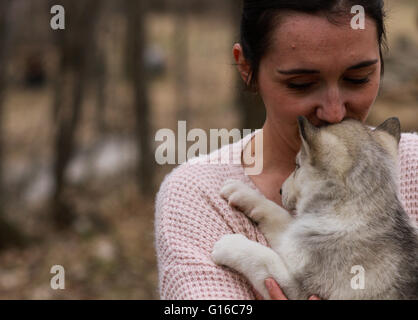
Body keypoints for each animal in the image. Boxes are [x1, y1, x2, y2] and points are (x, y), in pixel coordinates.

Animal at [212, 117, 418, 300]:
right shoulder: (298, 237)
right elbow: (279, 216)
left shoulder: (301, 289)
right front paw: (244, 193)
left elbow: (263, 257)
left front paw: (230, 245)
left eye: (297, 165)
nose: (280, 190)